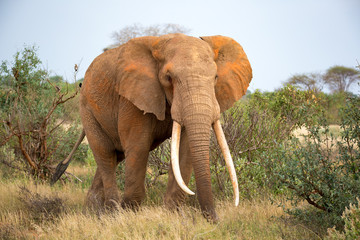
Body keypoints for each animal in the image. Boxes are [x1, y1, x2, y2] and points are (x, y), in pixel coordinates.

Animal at [52, 33, 252, 221]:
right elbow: (138, 146)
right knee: (105, 154)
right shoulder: (132, 96)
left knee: (116, 156)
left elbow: (185, 149)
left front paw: (174, 214)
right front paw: (130, 214)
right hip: (87, 110)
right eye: (168, 78)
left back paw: (93, 211)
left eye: (216, 77)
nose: (214, 219)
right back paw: (112, 212)